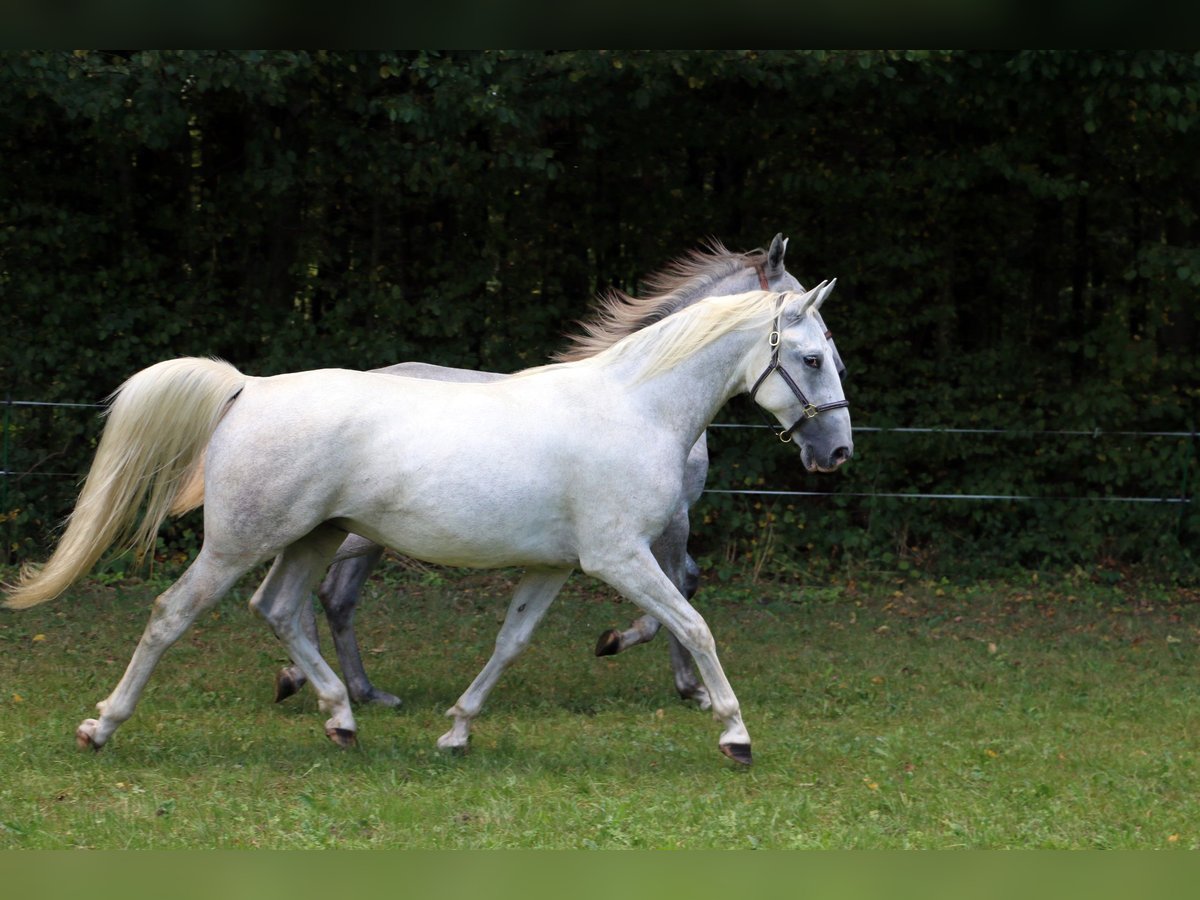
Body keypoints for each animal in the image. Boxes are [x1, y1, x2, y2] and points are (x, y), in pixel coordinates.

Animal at [4, 285, 849, 763]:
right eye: (811, 358)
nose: (835, 451)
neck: (634, 407)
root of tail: (249, 388)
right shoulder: (622, 558)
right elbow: (694, 624)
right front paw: (734, 734)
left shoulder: (555, 566)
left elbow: (509, 644)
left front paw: (456, 732)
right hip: (242, 541)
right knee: (172, 614)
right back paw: (101, 728)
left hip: (312, 538)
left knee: (281, 611)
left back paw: (342, 717)